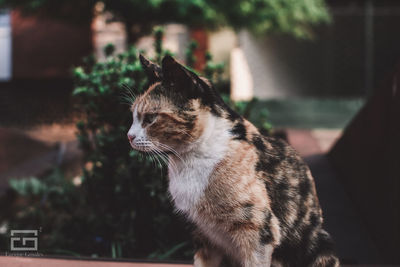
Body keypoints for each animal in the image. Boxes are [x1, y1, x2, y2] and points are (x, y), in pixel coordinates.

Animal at [127, 55, 338, 267]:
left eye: (150, 118)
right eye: (133, 116)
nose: (129, 136)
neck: (190, 161)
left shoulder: (258, 231)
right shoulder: (203, 234)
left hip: (320, 249)